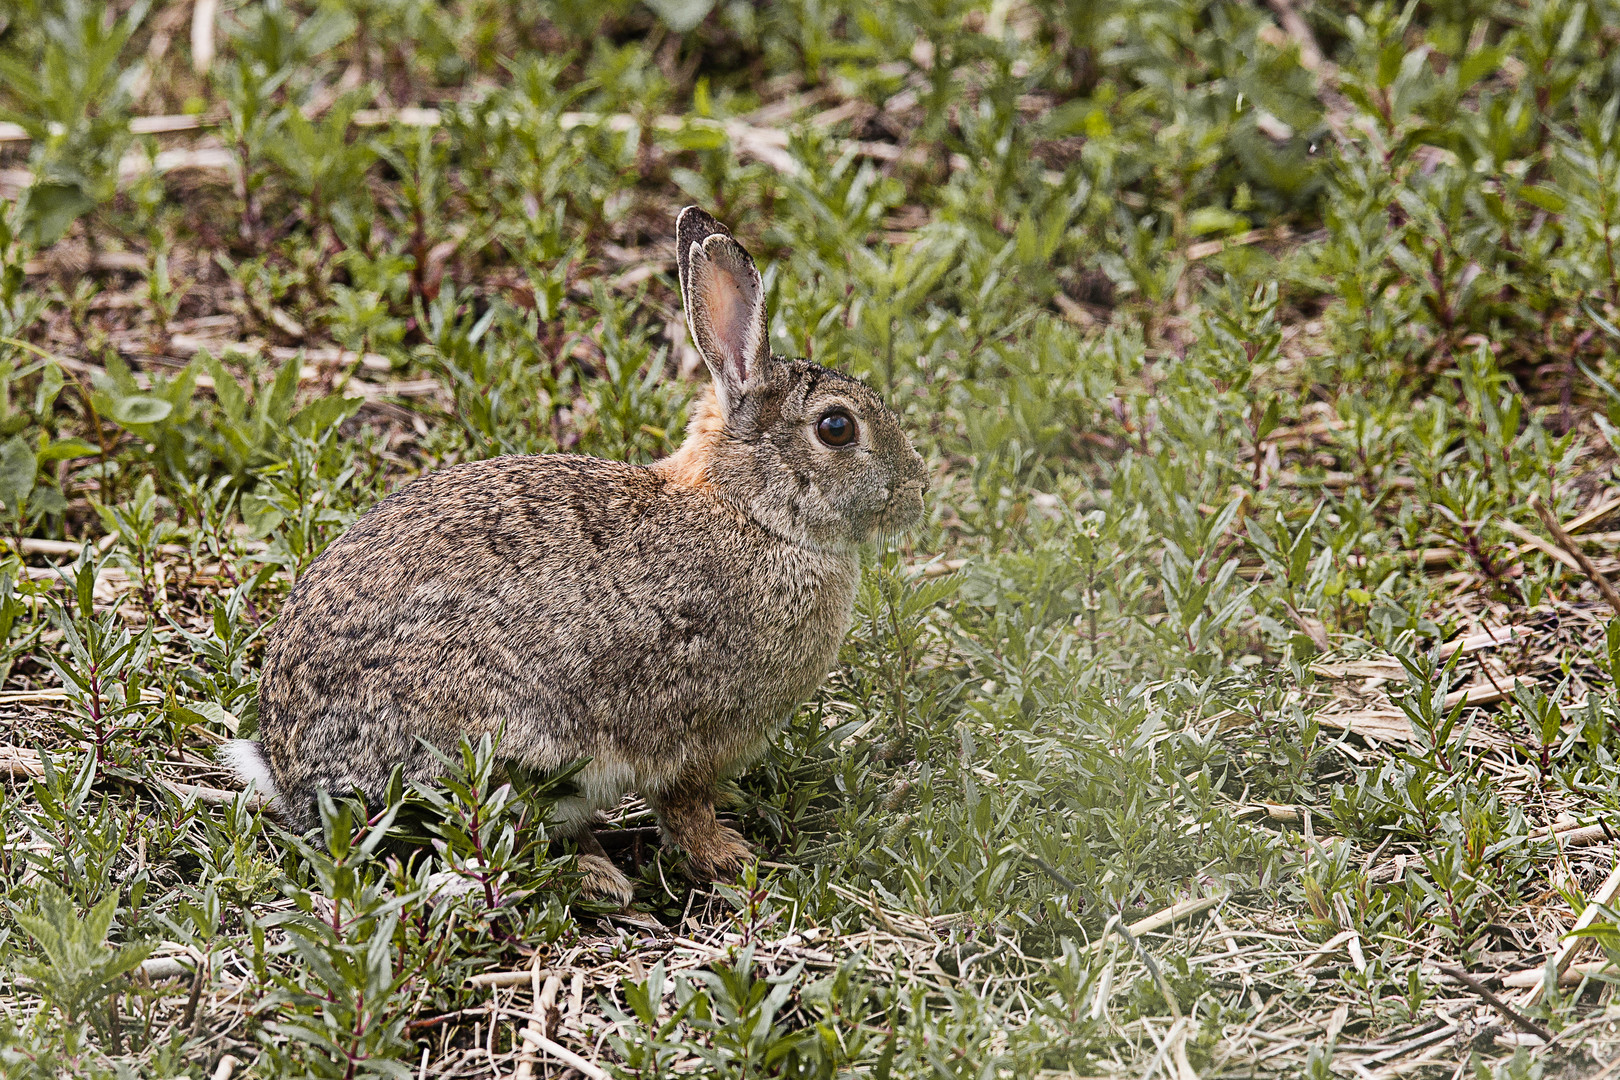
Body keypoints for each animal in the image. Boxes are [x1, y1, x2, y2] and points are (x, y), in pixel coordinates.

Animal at [218, 204, 926, 906]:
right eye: (837, 428)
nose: (916, 491)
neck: (751, 513)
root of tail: (292, 776)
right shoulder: (687, 737)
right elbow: (684, 807)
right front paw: (730, 858)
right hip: (506, 752)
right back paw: (596, 876)